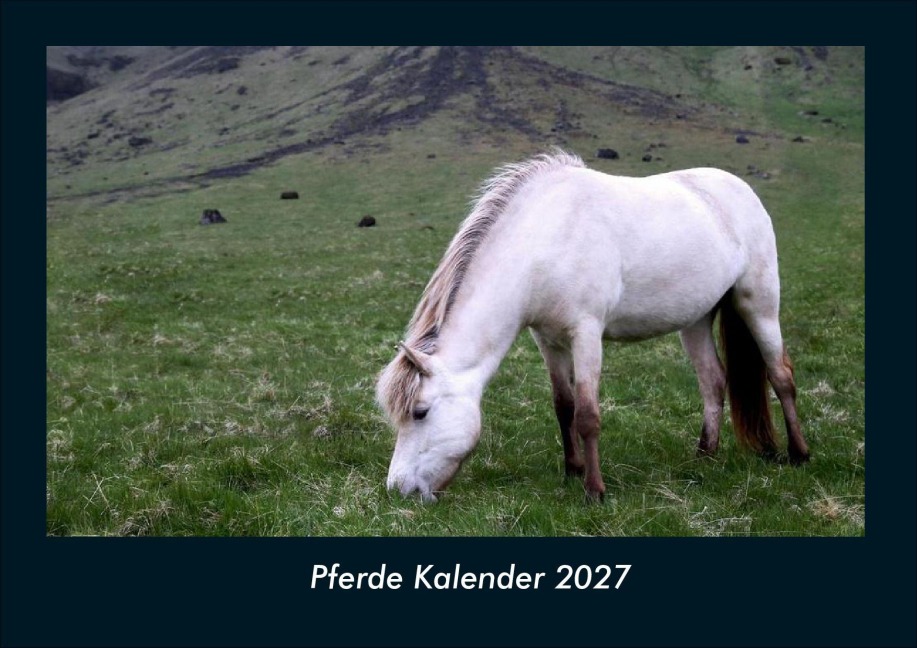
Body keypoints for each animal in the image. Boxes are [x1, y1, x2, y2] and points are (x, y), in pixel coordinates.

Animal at [376, 150, 809, 502]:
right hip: (696, 320)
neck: (544, 242)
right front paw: (573, 471)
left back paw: (799, 454)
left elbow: (587, 414)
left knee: (780, 375)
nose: (398, 489)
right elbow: (563, 406)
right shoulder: (547, 340)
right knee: (713, 381)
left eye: (420, 412)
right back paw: (705, 455)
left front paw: (595, 490)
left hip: (759, 303)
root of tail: (739, 188)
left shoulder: (586, 334)